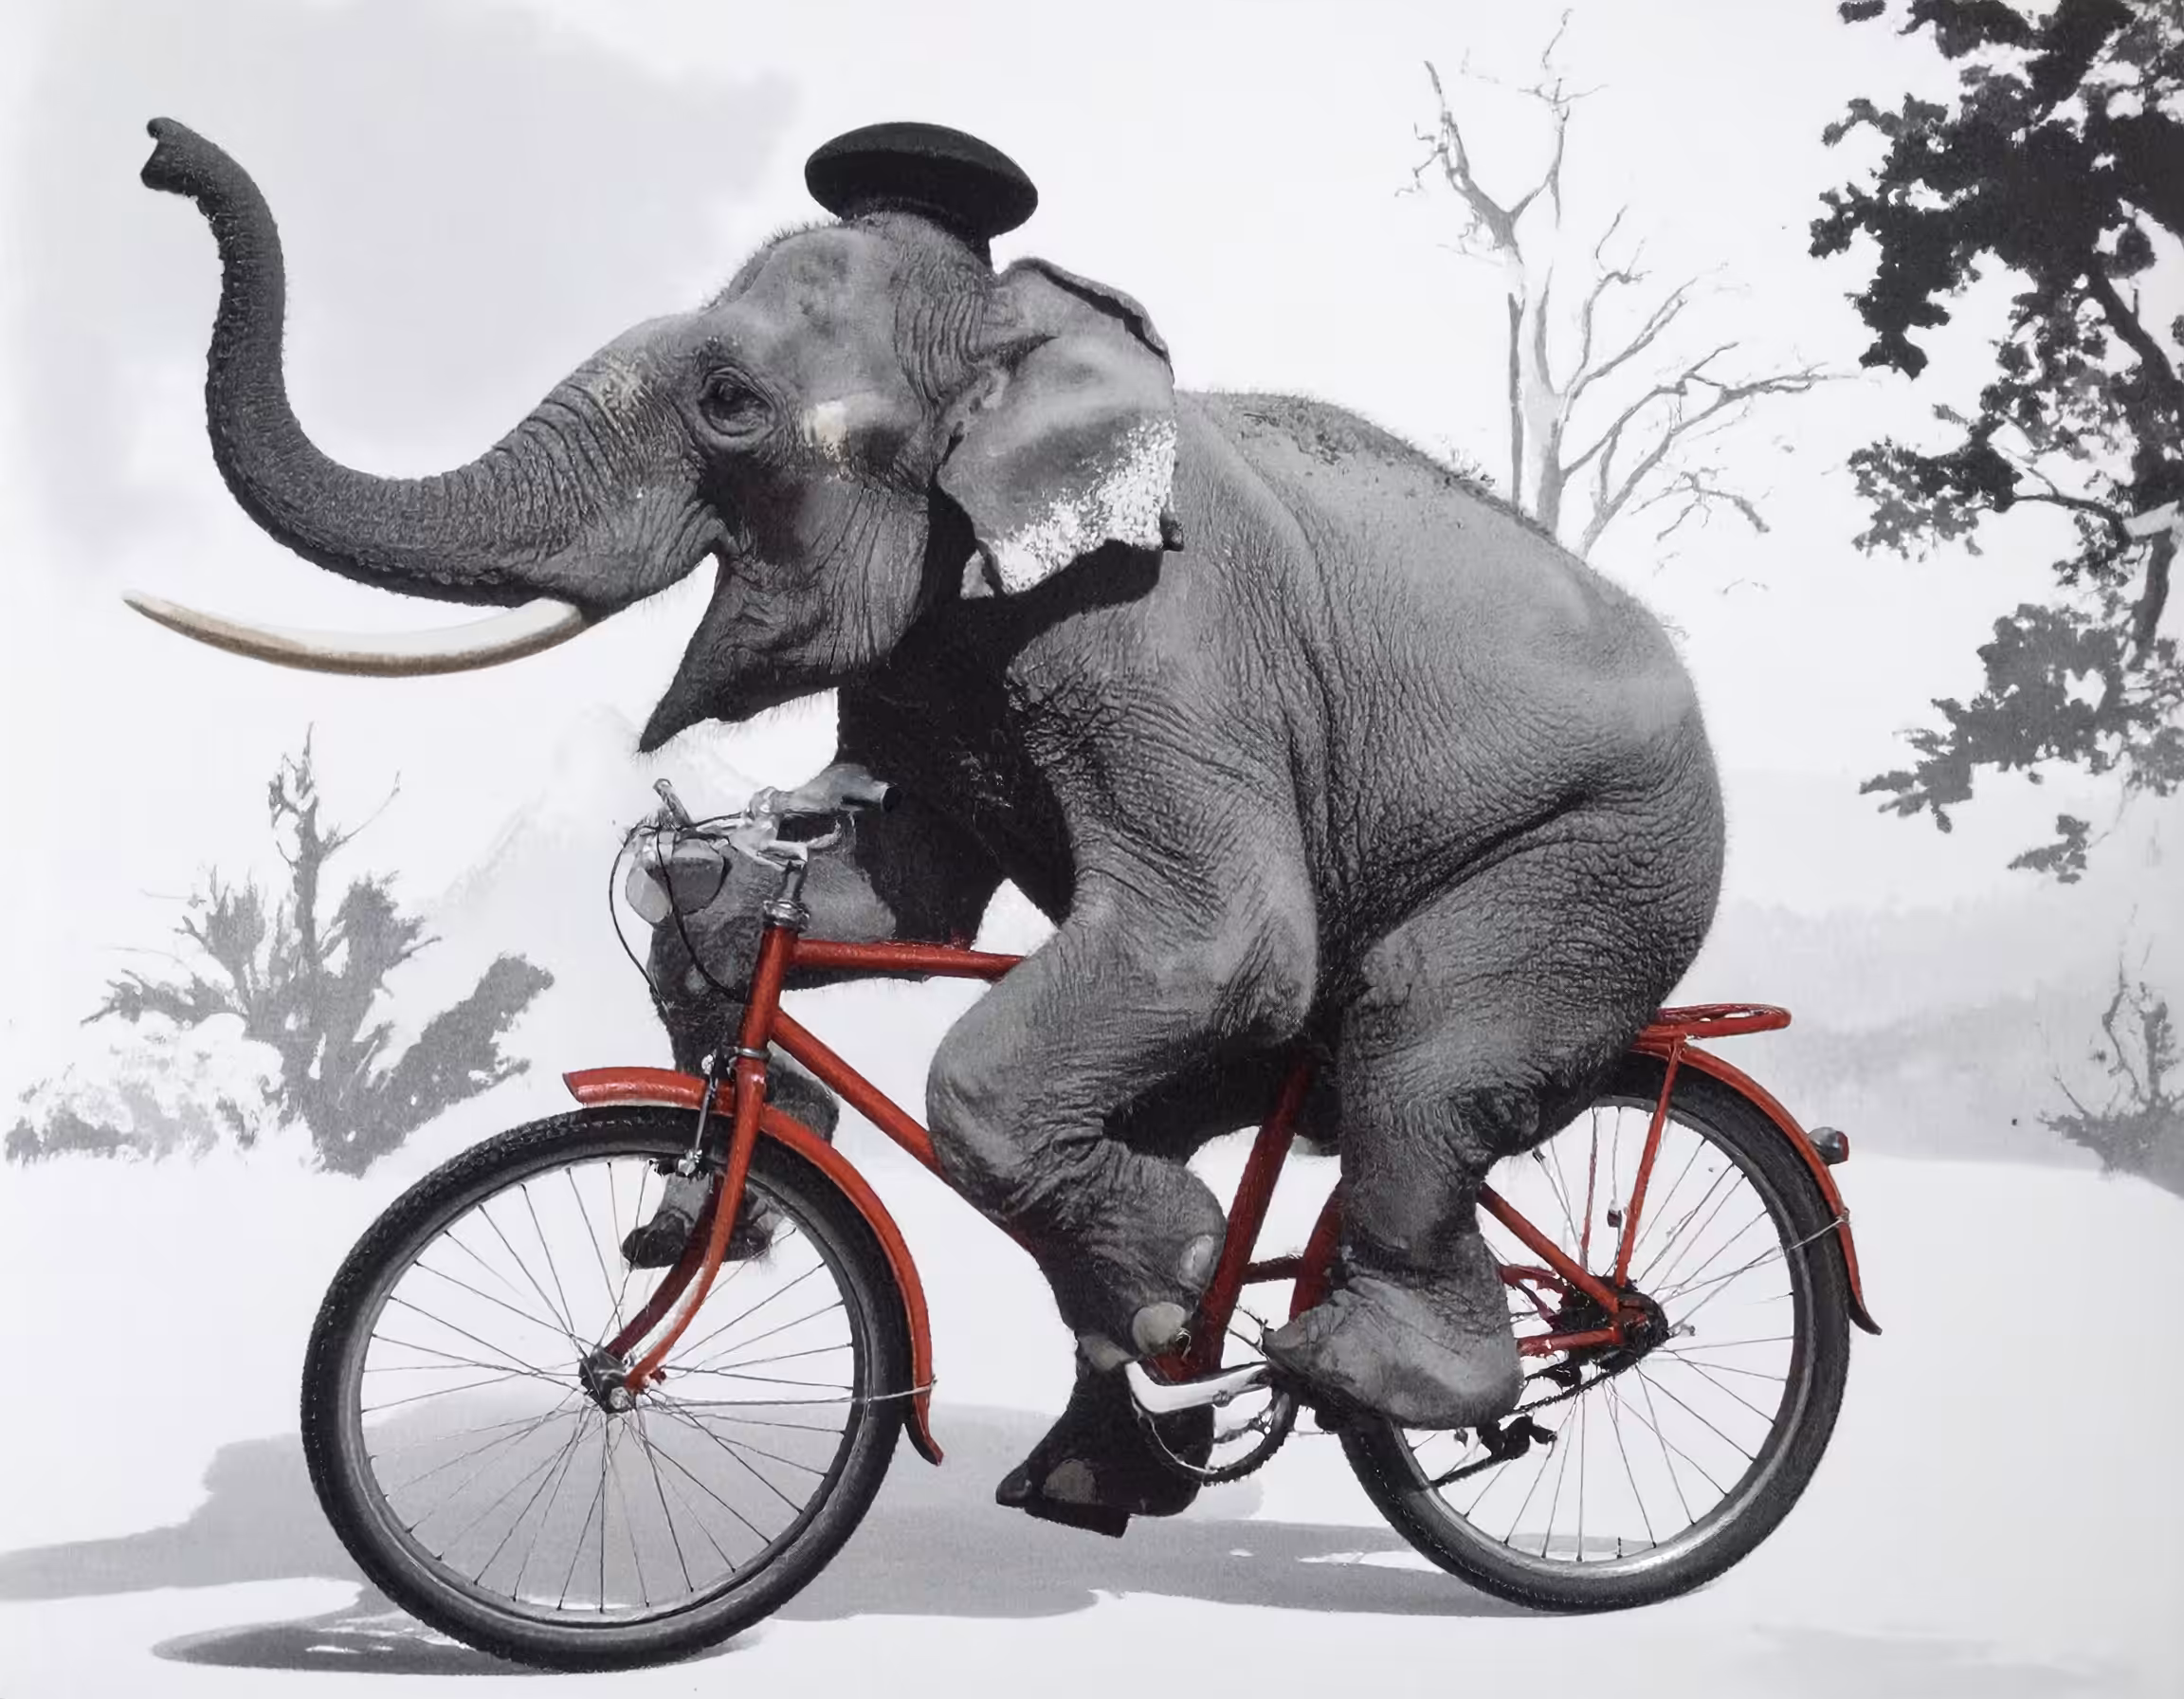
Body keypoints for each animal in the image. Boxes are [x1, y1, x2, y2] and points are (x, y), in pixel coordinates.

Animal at [136, 118, 1726, 1534]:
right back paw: (1099, 1470)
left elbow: (1217, 942)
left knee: (1421, 1060)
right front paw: (711, 1133)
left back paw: (1373, 1373)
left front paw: (1180, 1273)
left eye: (730, 401)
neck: (1018, 329)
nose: (156, 152)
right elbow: (901, 902)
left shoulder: (1168, 628)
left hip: (1612, 859)